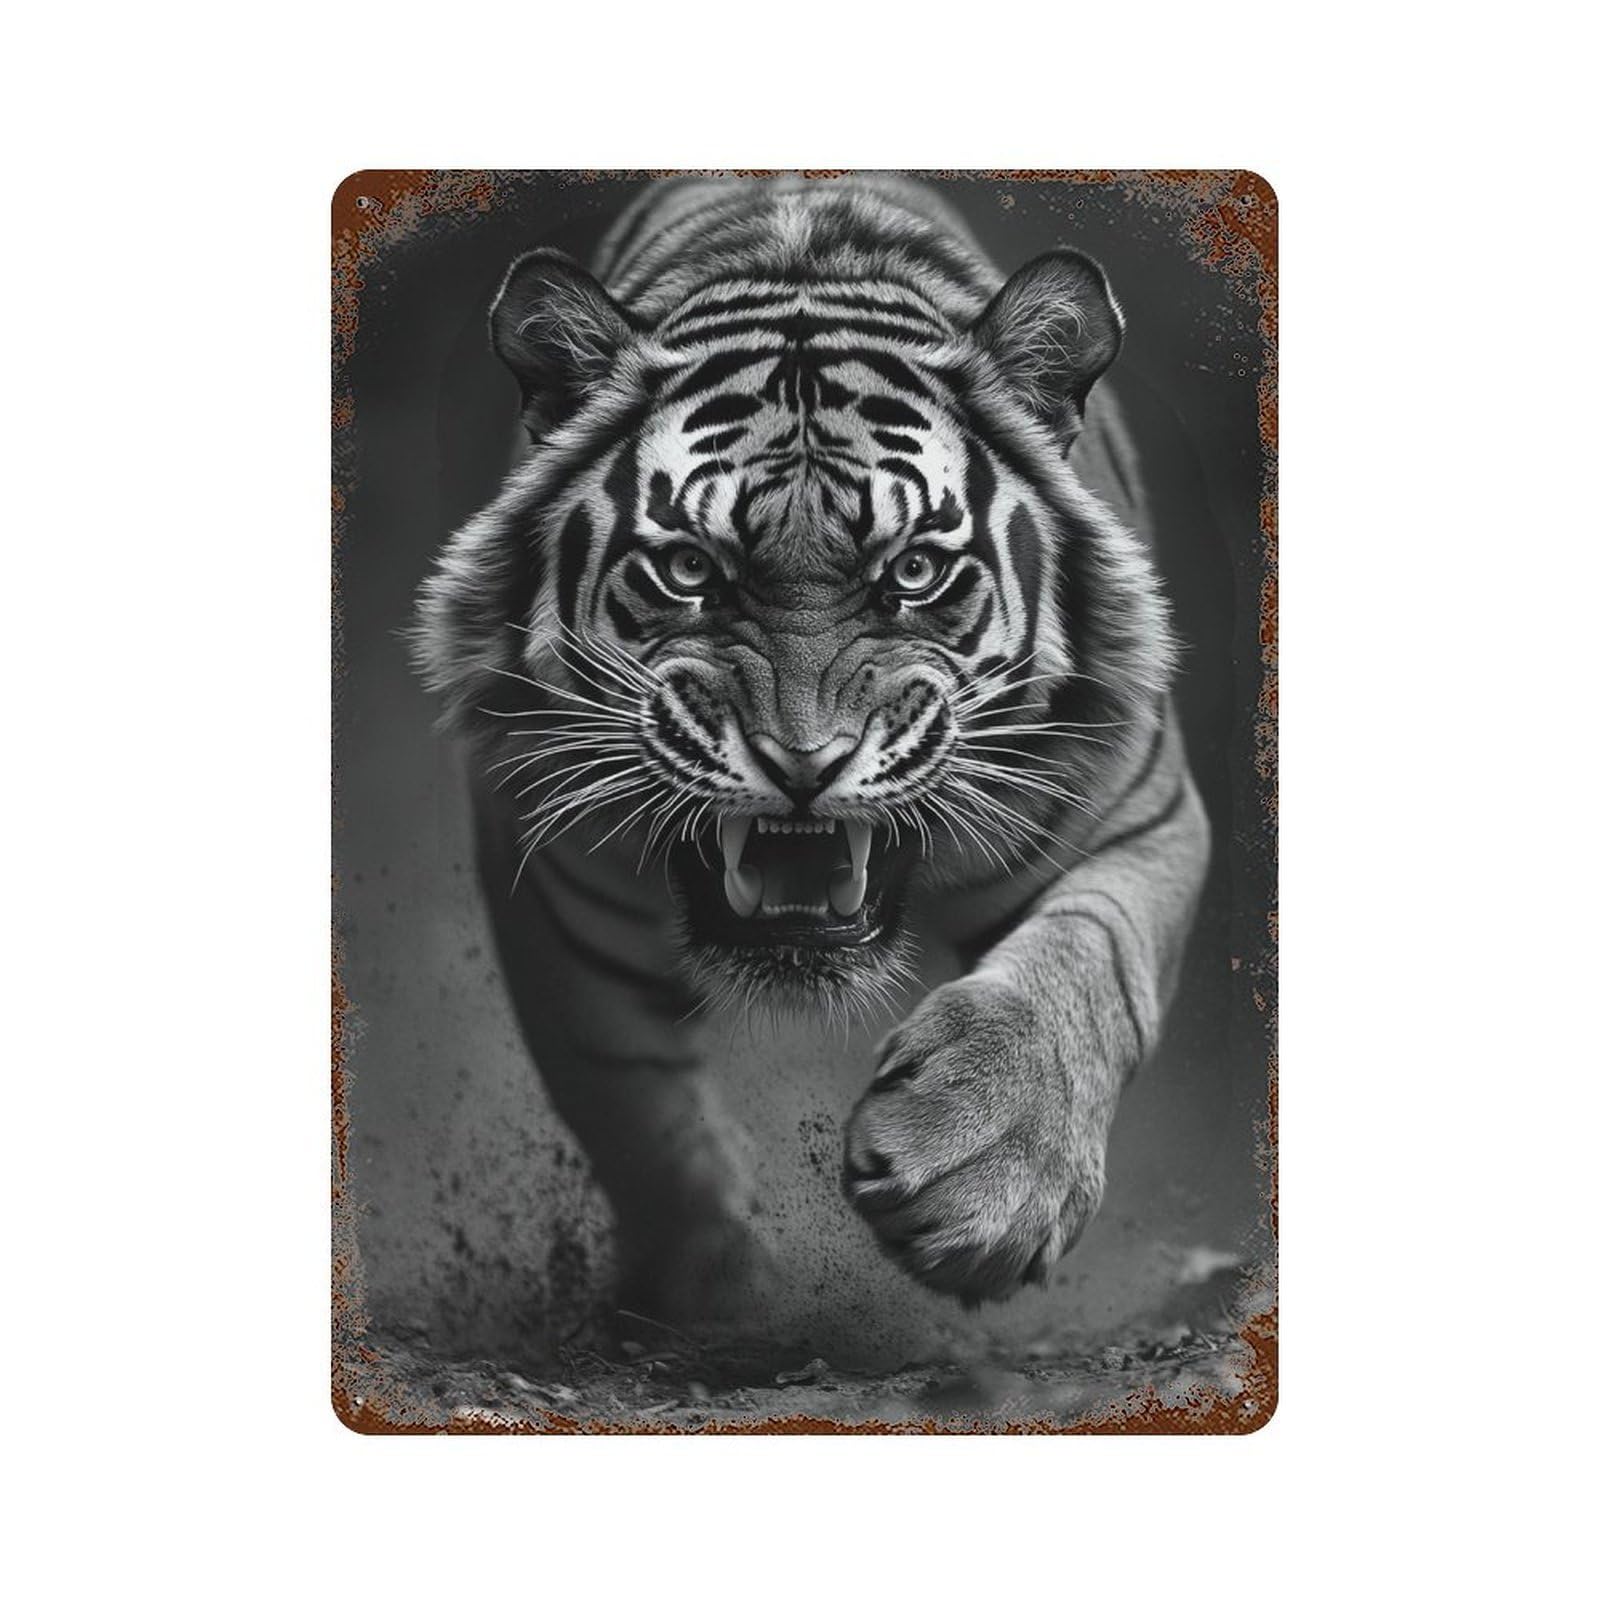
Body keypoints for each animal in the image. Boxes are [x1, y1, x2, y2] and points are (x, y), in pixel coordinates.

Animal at [413, 174, 1210, 1323]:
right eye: (689, 571)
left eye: (915, 570)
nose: (802, 761)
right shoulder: (559, 878)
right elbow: (632, 1104)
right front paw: (720, 1293)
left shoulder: (1139, 818)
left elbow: (1086, 969)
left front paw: (987, 1184)